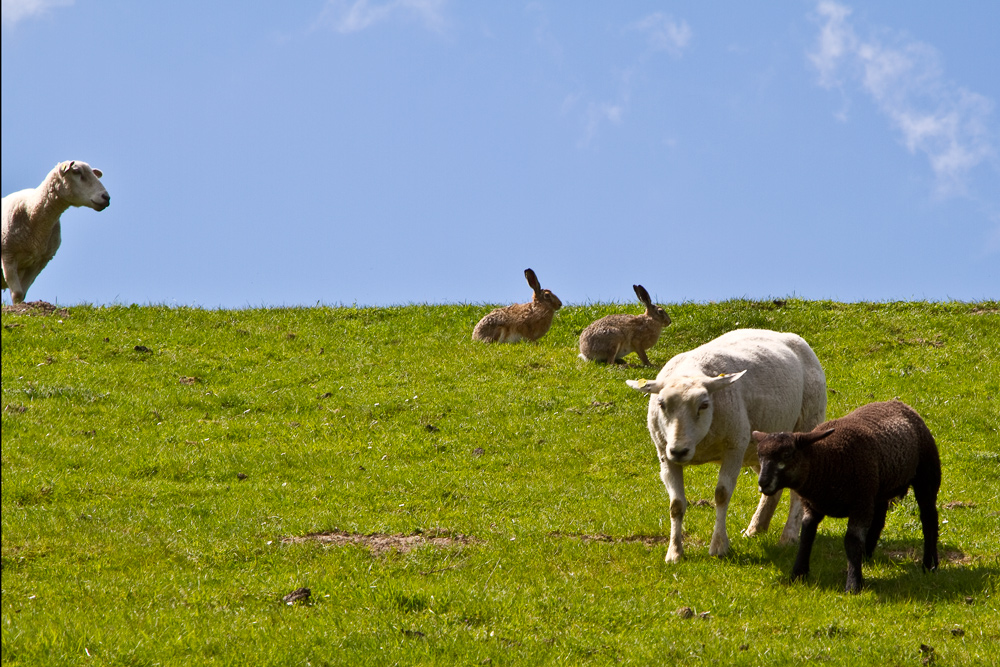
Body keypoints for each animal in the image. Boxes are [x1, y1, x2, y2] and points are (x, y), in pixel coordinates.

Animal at [1, 162, 110, 306]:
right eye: (76, 172)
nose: (106, 197)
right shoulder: (8, 255)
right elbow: (18, 294)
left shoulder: (40, 261)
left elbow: (22, 293)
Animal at [624, 328, 828, 564]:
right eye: (661, 404)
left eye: (704, 405)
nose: (679, 451)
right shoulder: (664, 453)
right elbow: (676, 504)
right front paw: (674, 553)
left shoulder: (734, 447)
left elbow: (721, 494)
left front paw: (719, 546)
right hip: (758, 446)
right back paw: (756, 528)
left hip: (807, 421)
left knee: (797, 489)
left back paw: (788, 536)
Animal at [752, 402, 940, 596]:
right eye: (759, 455)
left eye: (787, 454)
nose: (763, 483)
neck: (826, 460)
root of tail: (900, 404)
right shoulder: (812, 507)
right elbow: (806, 535)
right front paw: (798, 574)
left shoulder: (860, 504)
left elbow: (851, 540)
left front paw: (853, 584)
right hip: (878, 489)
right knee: (879, 518)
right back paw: (867, 556)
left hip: (927, 474)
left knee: (929, 519)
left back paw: (929, 564)